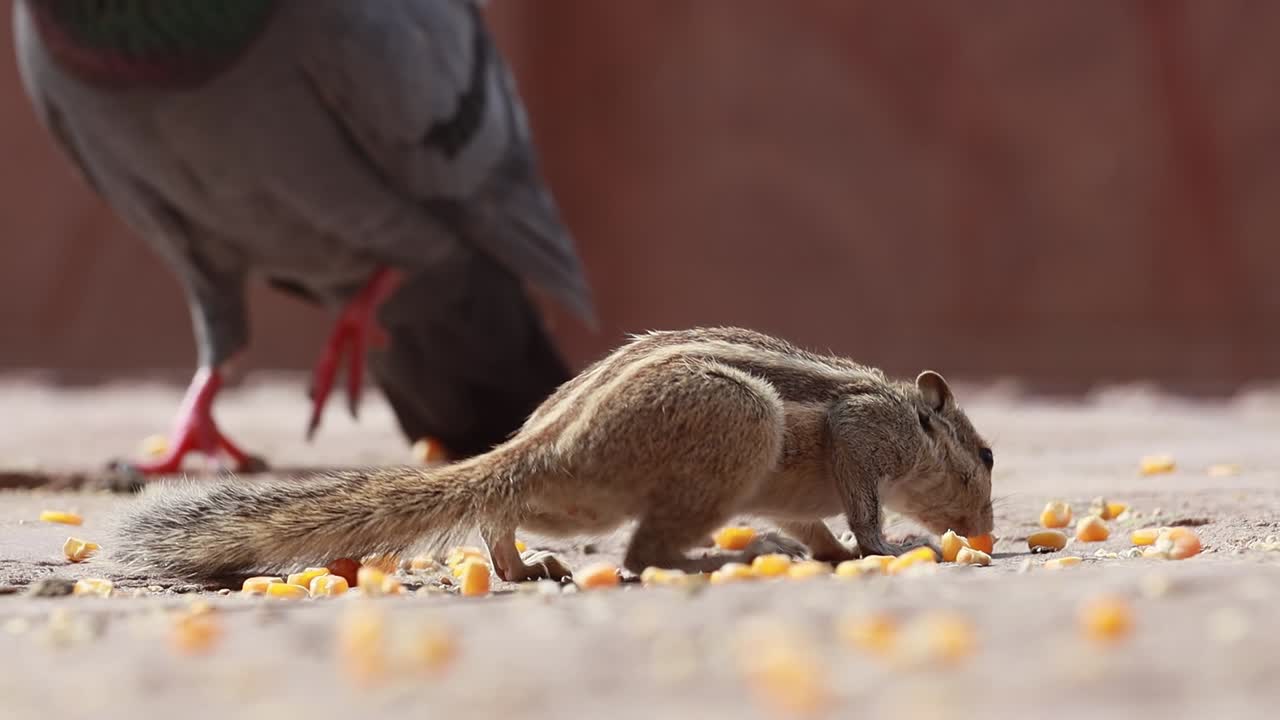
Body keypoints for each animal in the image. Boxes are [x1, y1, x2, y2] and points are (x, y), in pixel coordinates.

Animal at [113, 327, 995, 582]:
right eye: (985, 455)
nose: (987, 529)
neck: (914, 418)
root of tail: (539, 449)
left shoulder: (806, 494)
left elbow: (817, 528)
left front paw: (827, 550)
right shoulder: (864, 429)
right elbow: (861, 505)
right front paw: (888, 544)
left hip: (572, 504)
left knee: (500, 514)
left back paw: (519, 567)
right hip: (737, 427)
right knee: (642, 555)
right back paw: (710, 559)